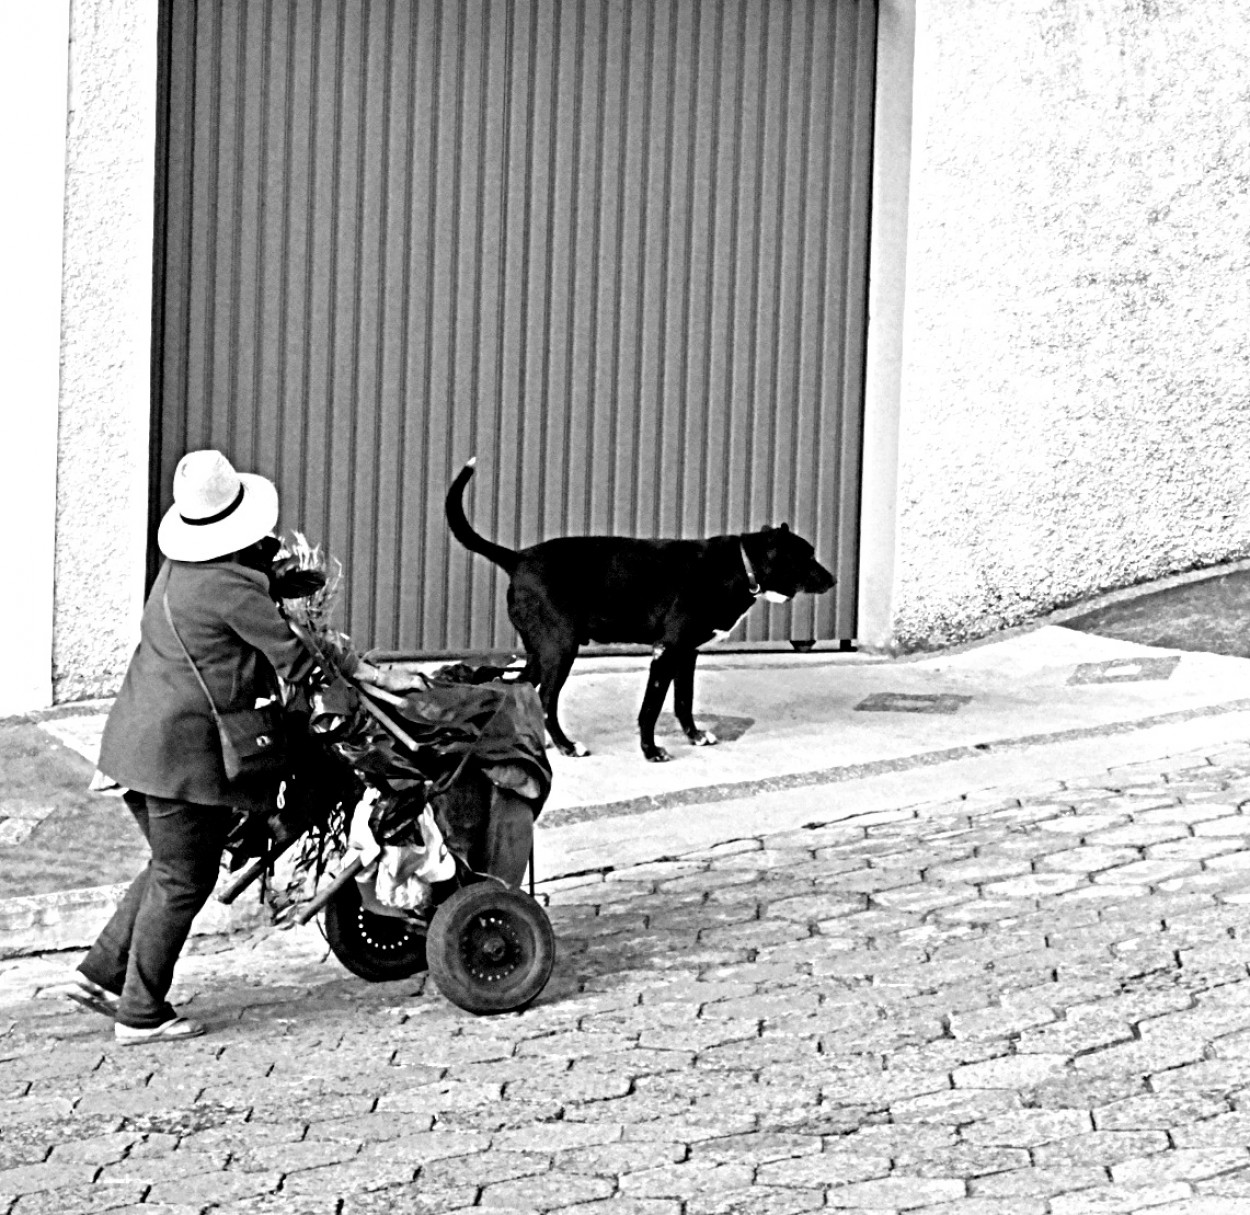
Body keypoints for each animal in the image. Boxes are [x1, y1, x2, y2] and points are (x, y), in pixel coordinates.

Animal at [445, 457, 835, 760]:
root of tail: (518, 558)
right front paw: (651, 751)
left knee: (519, 687)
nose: (833, 580)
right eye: (807, 556)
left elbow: (683, 702)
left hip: (539, 652)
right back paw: (567, 745)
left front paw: (695, 736)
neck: (741, 565)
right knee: (545, 698)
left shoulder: (687, 654)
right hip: (560, 648)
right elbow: (651, 708)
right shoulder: (666, 652)